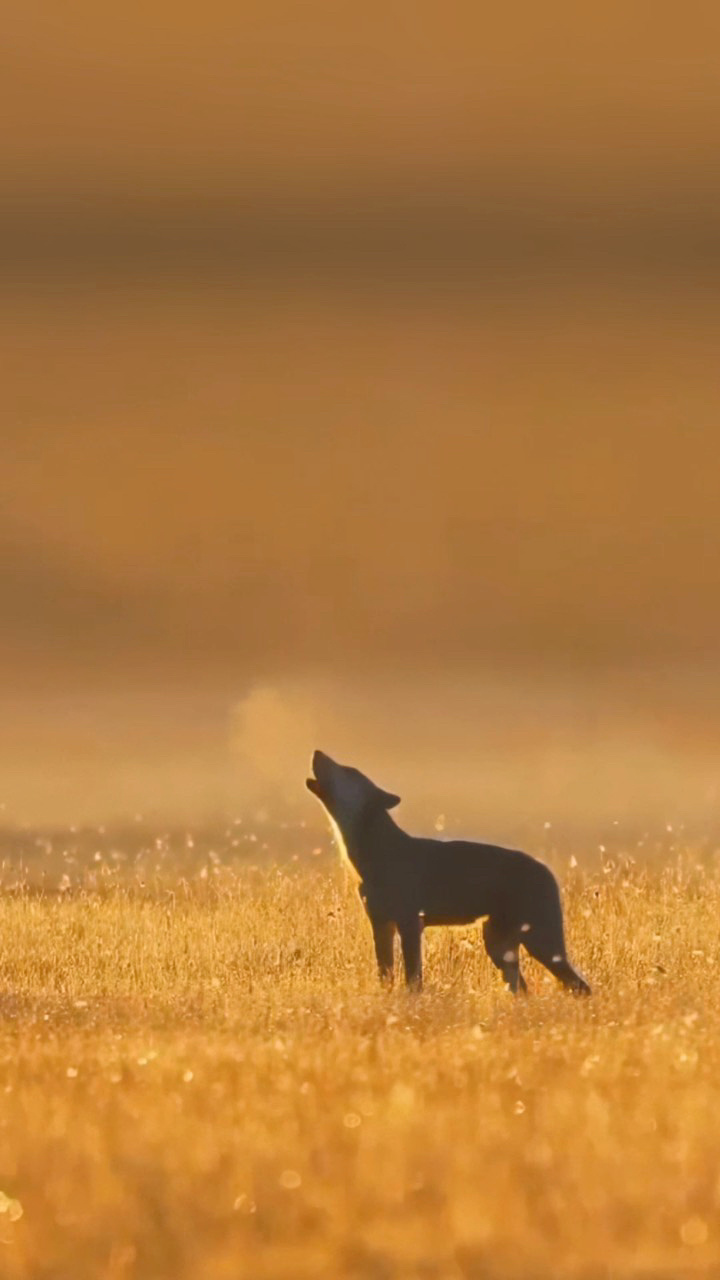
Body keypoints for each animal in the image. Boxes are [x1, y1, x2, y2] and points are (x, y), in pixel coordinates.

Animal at [302, 752, 589, 993]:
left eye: (346, 771)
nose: (317, 752)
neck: (371, 858)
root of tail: (548, 870)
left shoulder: (410, 922)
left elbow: (413, 979)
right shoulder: (381, 924)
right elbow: (386, 976)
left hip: (539, 943)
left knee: (580, 987)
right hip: (499, 945)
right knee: (526, 990)